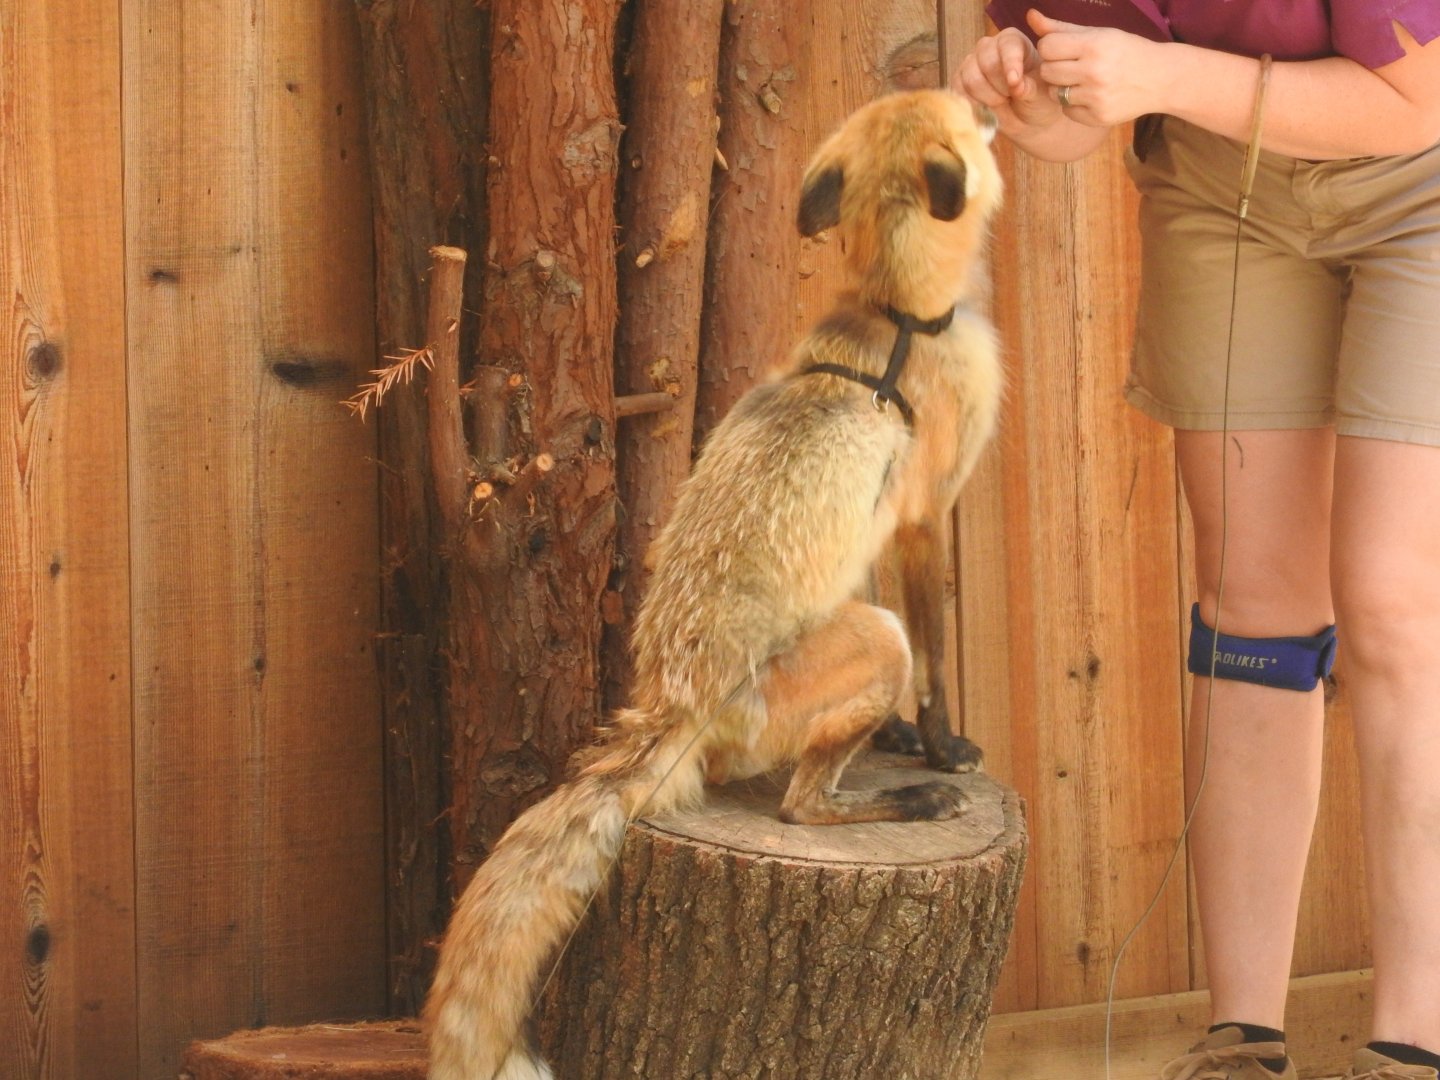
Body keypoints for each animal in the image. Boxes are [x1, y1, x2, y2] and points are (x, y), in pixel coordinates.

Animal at [424, 87, 1004, 1080]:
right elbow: (935, 660)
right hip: (870, 641)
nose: (994, 96)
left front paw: (903, 737)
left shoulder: (877, 535)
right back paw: (908, 798)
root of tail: (668, 698)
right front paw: (937, 746)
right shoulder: (928, 517)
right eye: (963, 111)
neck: (899, 315)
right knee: (802, 806)